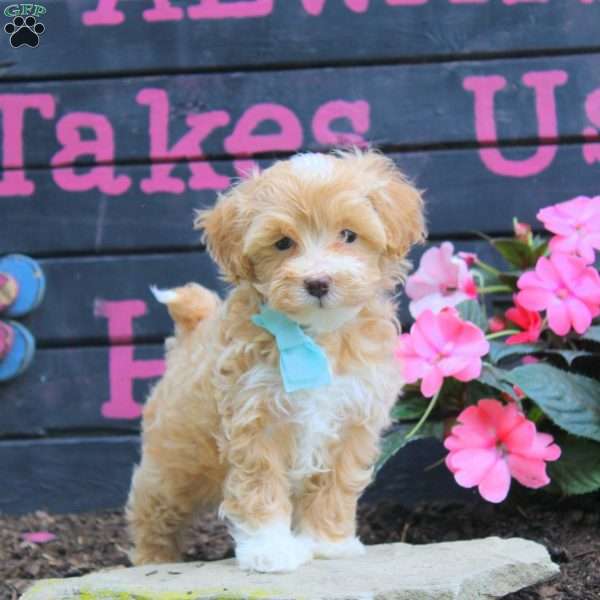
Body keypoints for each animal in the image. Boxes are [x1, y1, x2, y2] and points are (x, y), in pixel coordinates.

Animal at [126, 149, 426, 572]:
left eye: (348, 235)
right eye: (283, 243)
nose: (318, 282)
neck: (315, 337)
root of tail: (192, 330)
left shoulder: (352, 421)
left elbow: (335, 485)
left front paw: (329, 542)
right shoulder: (256, 418)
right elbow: (260, 485)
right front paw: (269, 549)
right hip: (176, 457)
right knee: (154, 504)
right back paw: (153, 557)